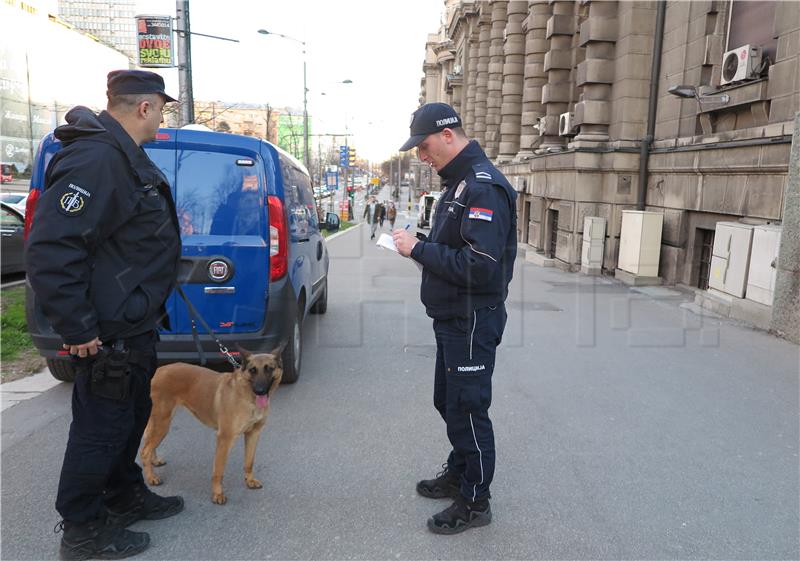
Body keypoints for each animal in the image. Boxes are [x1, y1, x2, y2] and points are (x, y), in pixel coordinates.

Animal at [139, 346, 282, 504]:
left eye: (269, 369)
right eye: (252, 370)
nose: (260, 390)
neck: (248, 395)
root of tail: (158, 371)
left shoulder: (253, 434)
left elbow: (249, 462)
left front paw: (249, 480)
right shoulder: (224, 439)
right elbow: (218, 471)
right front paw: (217, 494)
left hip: (160, 422)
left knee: (148, 443)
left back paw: (154, 461)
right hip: (162, 423)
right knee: (144, 451)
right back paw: (151, 477)